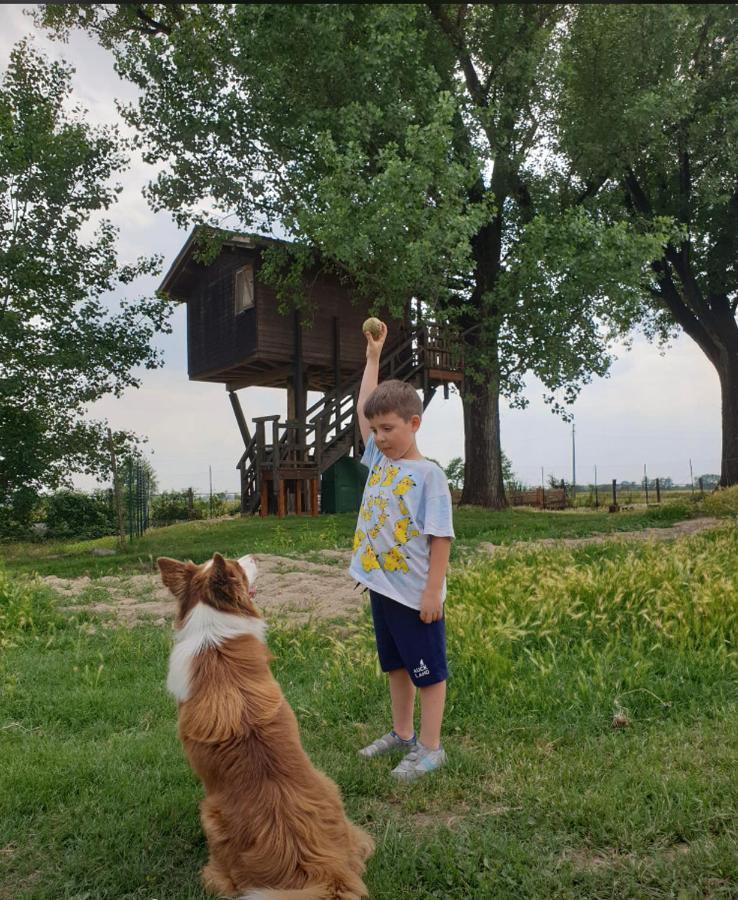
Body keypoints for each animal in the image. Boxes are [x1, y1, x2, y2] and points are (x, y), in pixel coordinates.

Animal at [157, 548, 370, 900]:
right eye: (239, 567)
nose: (254, 555)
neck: (212, 632)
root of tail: (325, 873)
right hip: (329, 785)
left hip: (210, 814)